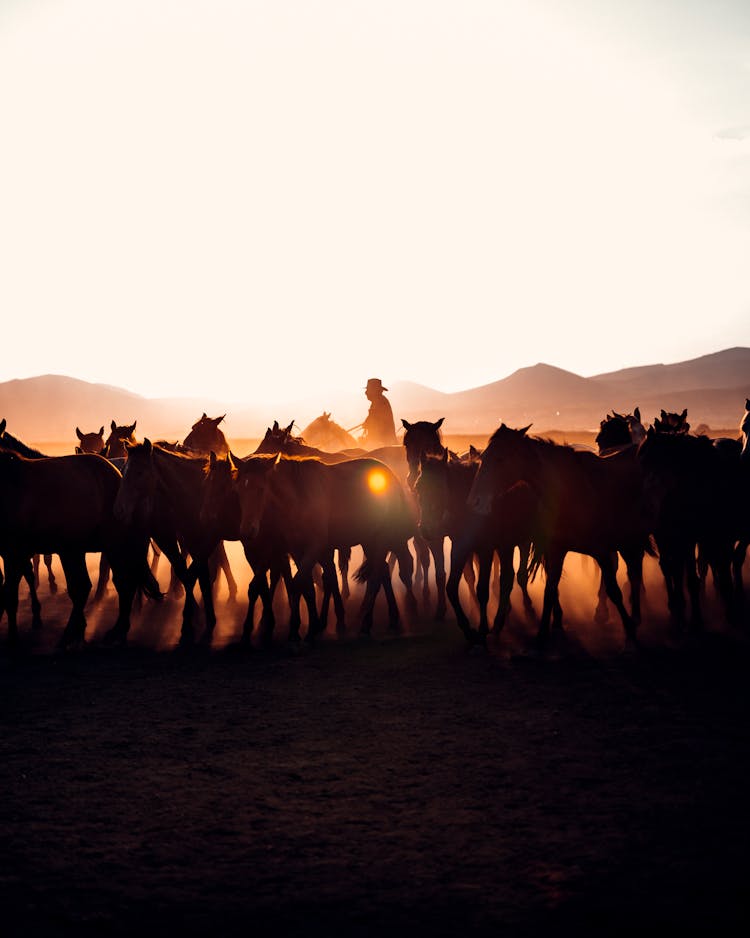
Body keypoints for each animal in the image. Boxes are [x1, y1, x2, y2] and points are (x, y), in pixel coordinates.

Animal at [468, 426, 648, 652]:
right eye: (483, 458)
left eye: (500, 459)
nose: (475, 501)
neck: (572, 492)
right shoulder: (554, 549)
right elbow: (549, 590)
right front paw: (542, 634)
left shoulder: (600, 550)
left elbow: (614, 590)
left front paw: (630, 633)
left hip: (631, 541)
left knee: (634, 574)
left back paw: (633, 617)